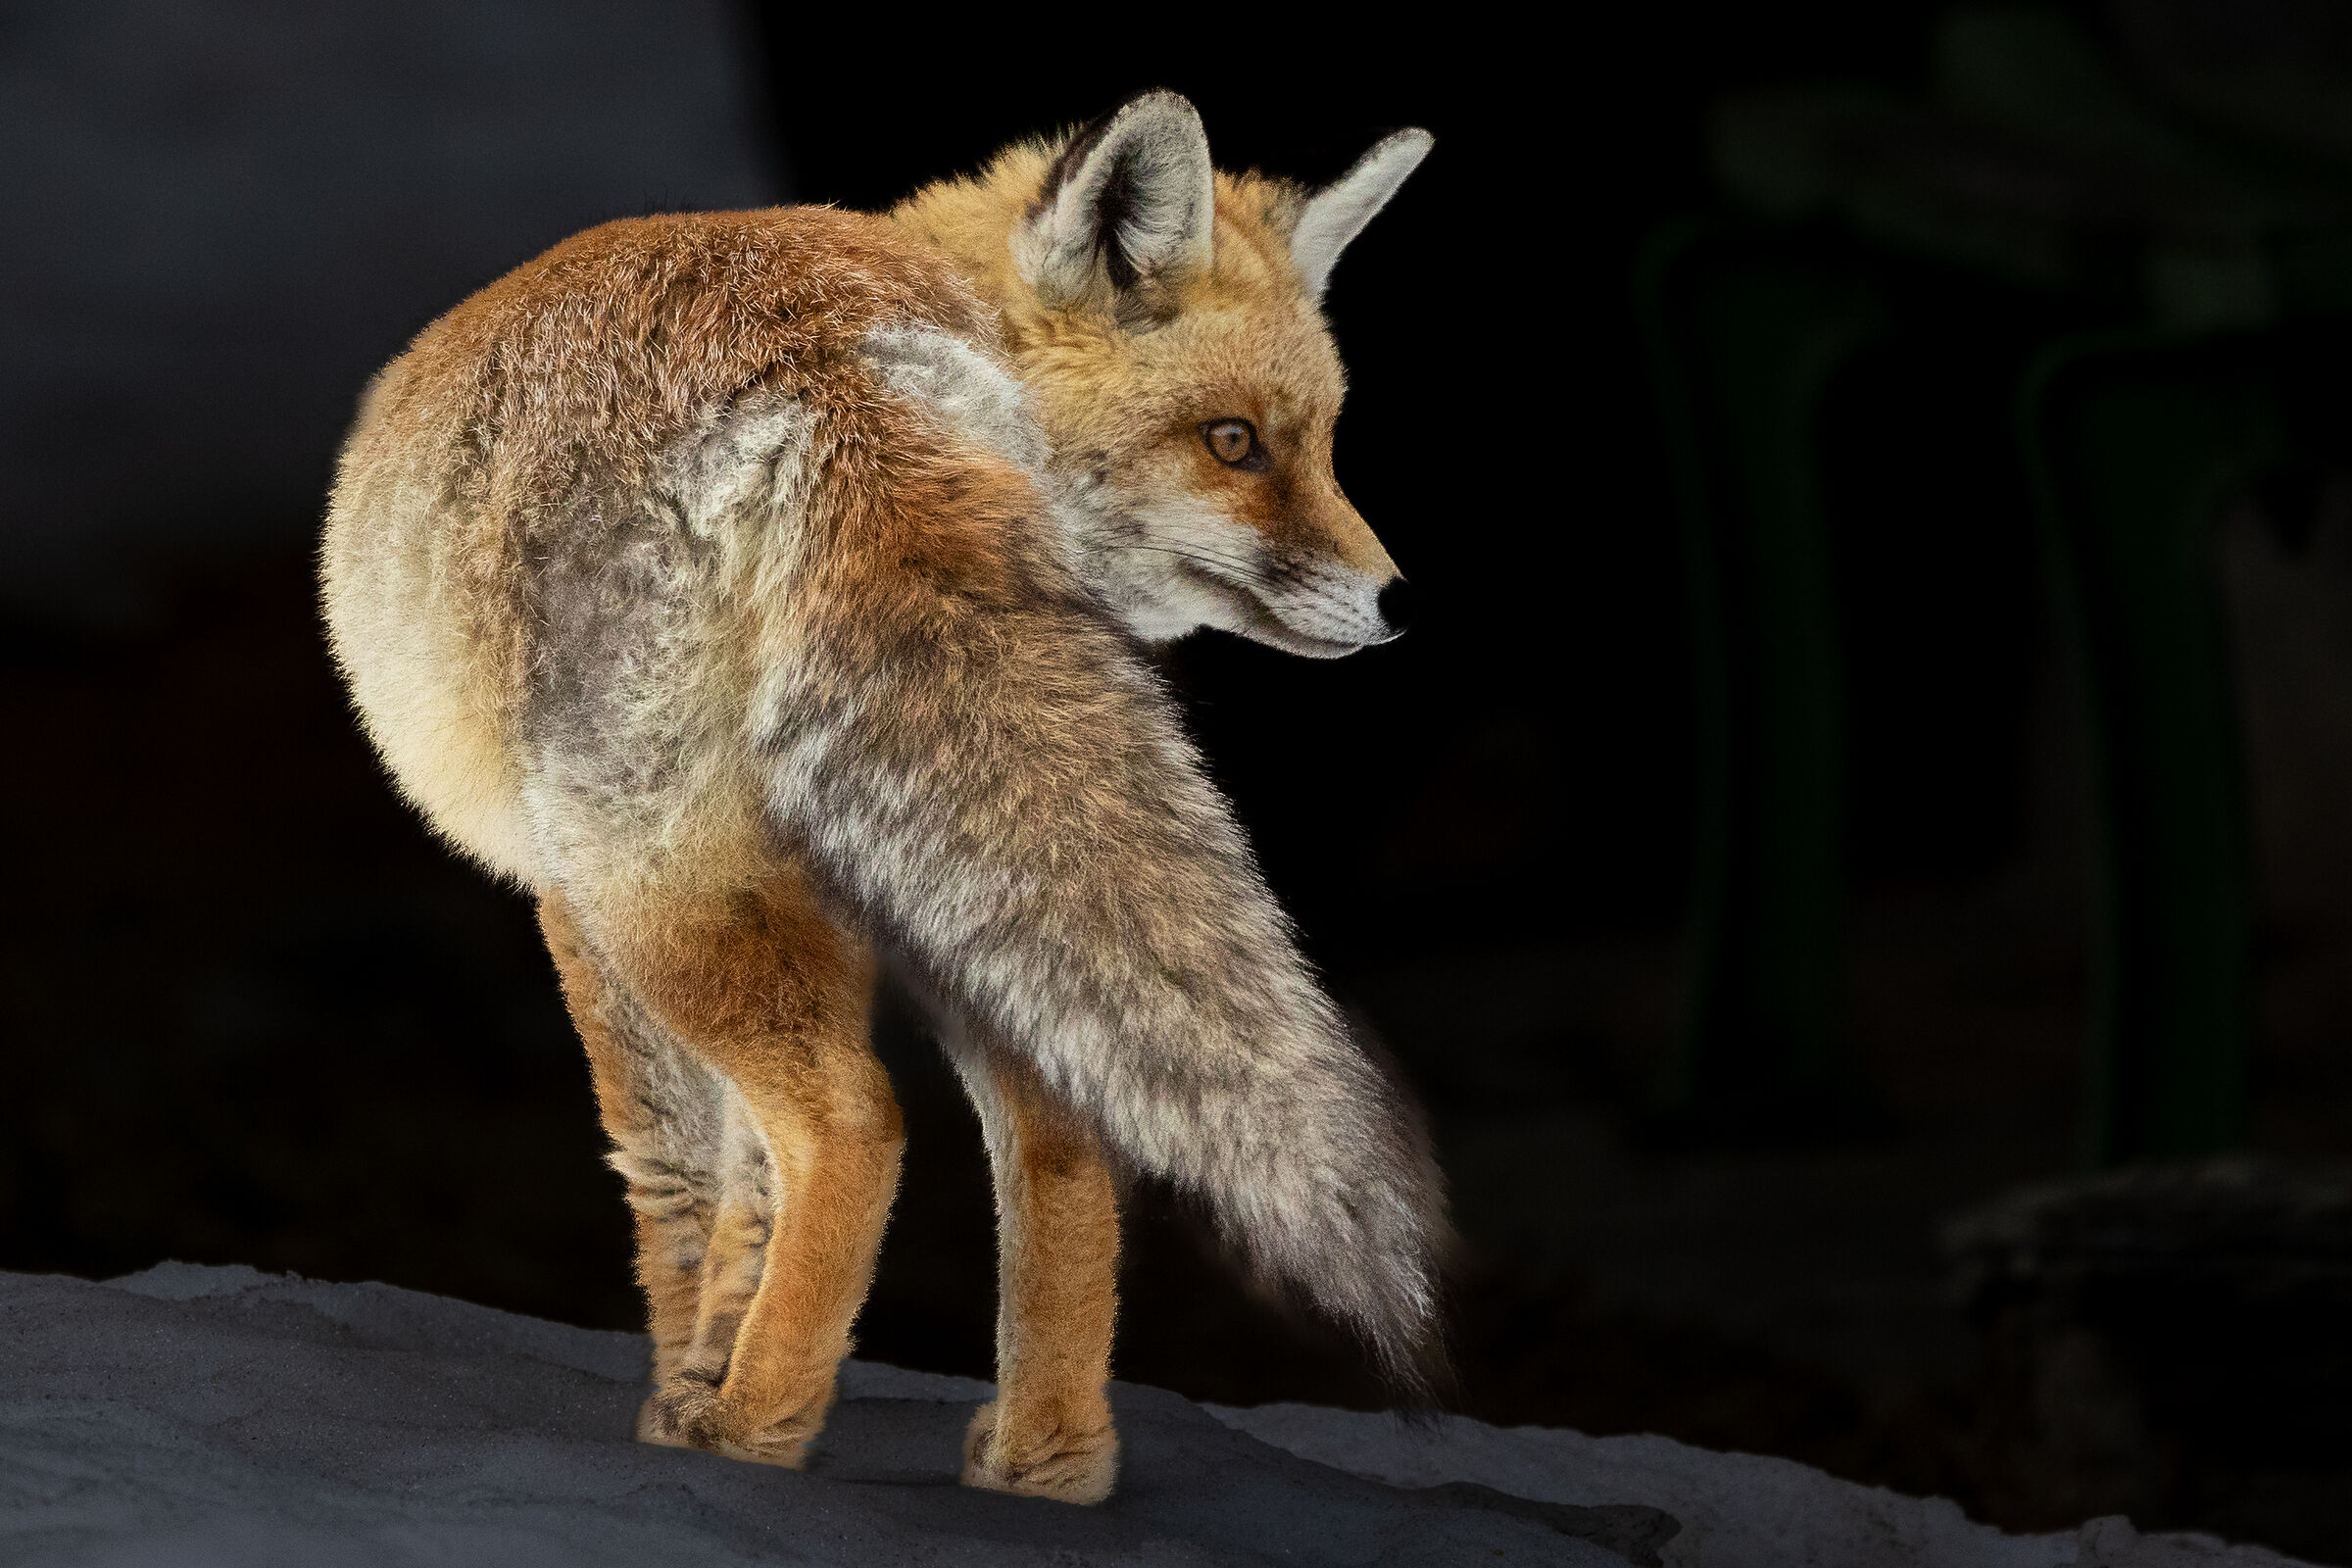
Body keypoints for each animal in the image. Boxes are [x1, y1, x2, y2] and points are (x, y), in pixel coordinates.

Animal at [320, 90, 1443, 1504]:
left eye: (1321, 443)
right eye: (1236, 443)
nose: (1399, 603)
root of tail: (837, 368)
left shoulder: (567, 900)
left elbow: (677, 1179)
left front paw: (688, 1399)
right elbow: (749, 1192)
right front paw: (715, 1362)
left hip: (662, 887)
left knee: (854, 1126)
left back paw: (759, 1431)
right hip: (972, 890)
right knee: (1059, 1141)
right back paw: (1045, 1461)